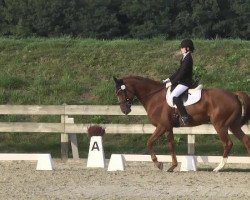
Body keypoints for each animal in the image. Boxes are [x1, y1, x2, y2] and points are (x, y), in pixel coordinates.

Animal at [114, 76, 250, 171]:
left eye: (120, 92)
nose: (124, 110)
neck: (154, 97)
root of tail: (233, 94)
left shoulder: (162, 126)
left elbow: (149, 142)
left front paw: (158, 164)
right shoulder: (168, 127)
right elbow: (171, 145)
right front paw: (172, 166)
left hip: (220, 125)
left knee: (228, 143)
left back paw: (218, 168)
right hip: (233, 125)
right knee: (246, 140)